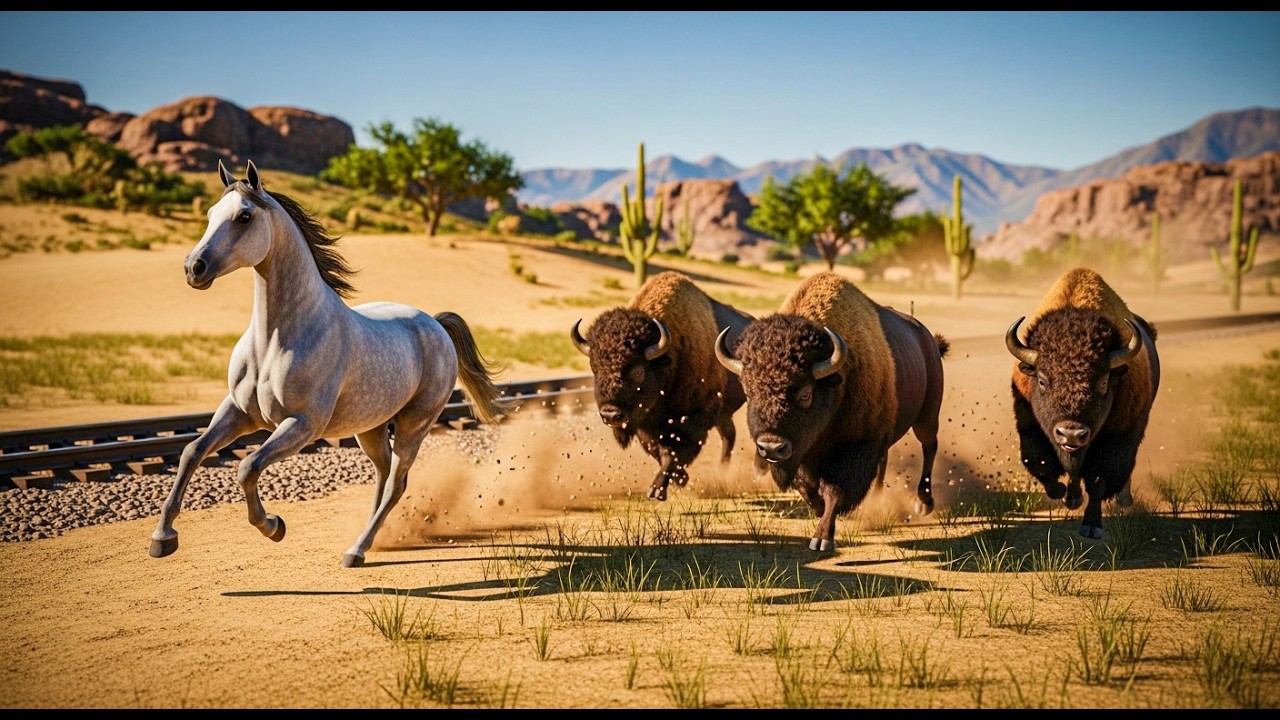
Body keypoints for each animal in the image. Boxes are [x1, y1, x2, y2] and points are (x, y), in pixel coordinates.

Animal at [149, 159, 506, 568]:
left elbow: (246, 466)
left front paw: (273, 526)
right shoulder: (239, 412)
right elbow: (192, 452)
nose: (194, 268)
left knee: (396, 484)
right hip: (370, 427)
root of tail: (435, 324)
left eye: (244, 216)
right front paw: (162, 538)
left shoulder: (302, 425)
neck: (275, 341)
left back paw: (355, 550)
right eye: (209, 214)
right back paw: (365, 544)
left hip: (415, 425)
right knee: (383, 476)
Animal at [572, 271, 755, 500]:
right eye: (595, 368)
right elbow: (658, 452)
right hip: (723, 415)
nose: (611, 415)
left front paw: (656, 490)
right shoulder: (645, 427)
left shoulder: (692, 422)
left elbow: (672, 453)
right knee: (729, 435)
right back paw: (721, 472)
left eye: (638, 371)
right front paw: (680, 479)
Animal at [715, 271, 949, 552]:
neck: (835, 382)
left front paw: (822, 538)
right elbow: (807, 488)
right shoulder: (802, 452)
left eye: (806, 393)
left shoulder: (855, 446)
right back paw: (877, 498)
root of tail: (929, 341)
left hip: (927, 416)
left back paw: (923, 503)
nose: (771, 447)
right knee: (885, 460)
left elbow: (834, 490)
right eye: (749, 393)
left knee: (929, 446)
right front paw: (818, 510)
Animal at [1006, 267, 1160, 540]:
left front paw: (1092, 526)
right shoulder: (1030, 429)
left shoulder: (1116, 438)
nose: (1071, 434)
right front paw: (1063, 494)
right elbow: (1041, 464)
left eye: (1103, 381)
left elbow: (1098, 480)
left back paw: (1122, 501)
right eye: (1042, 380)